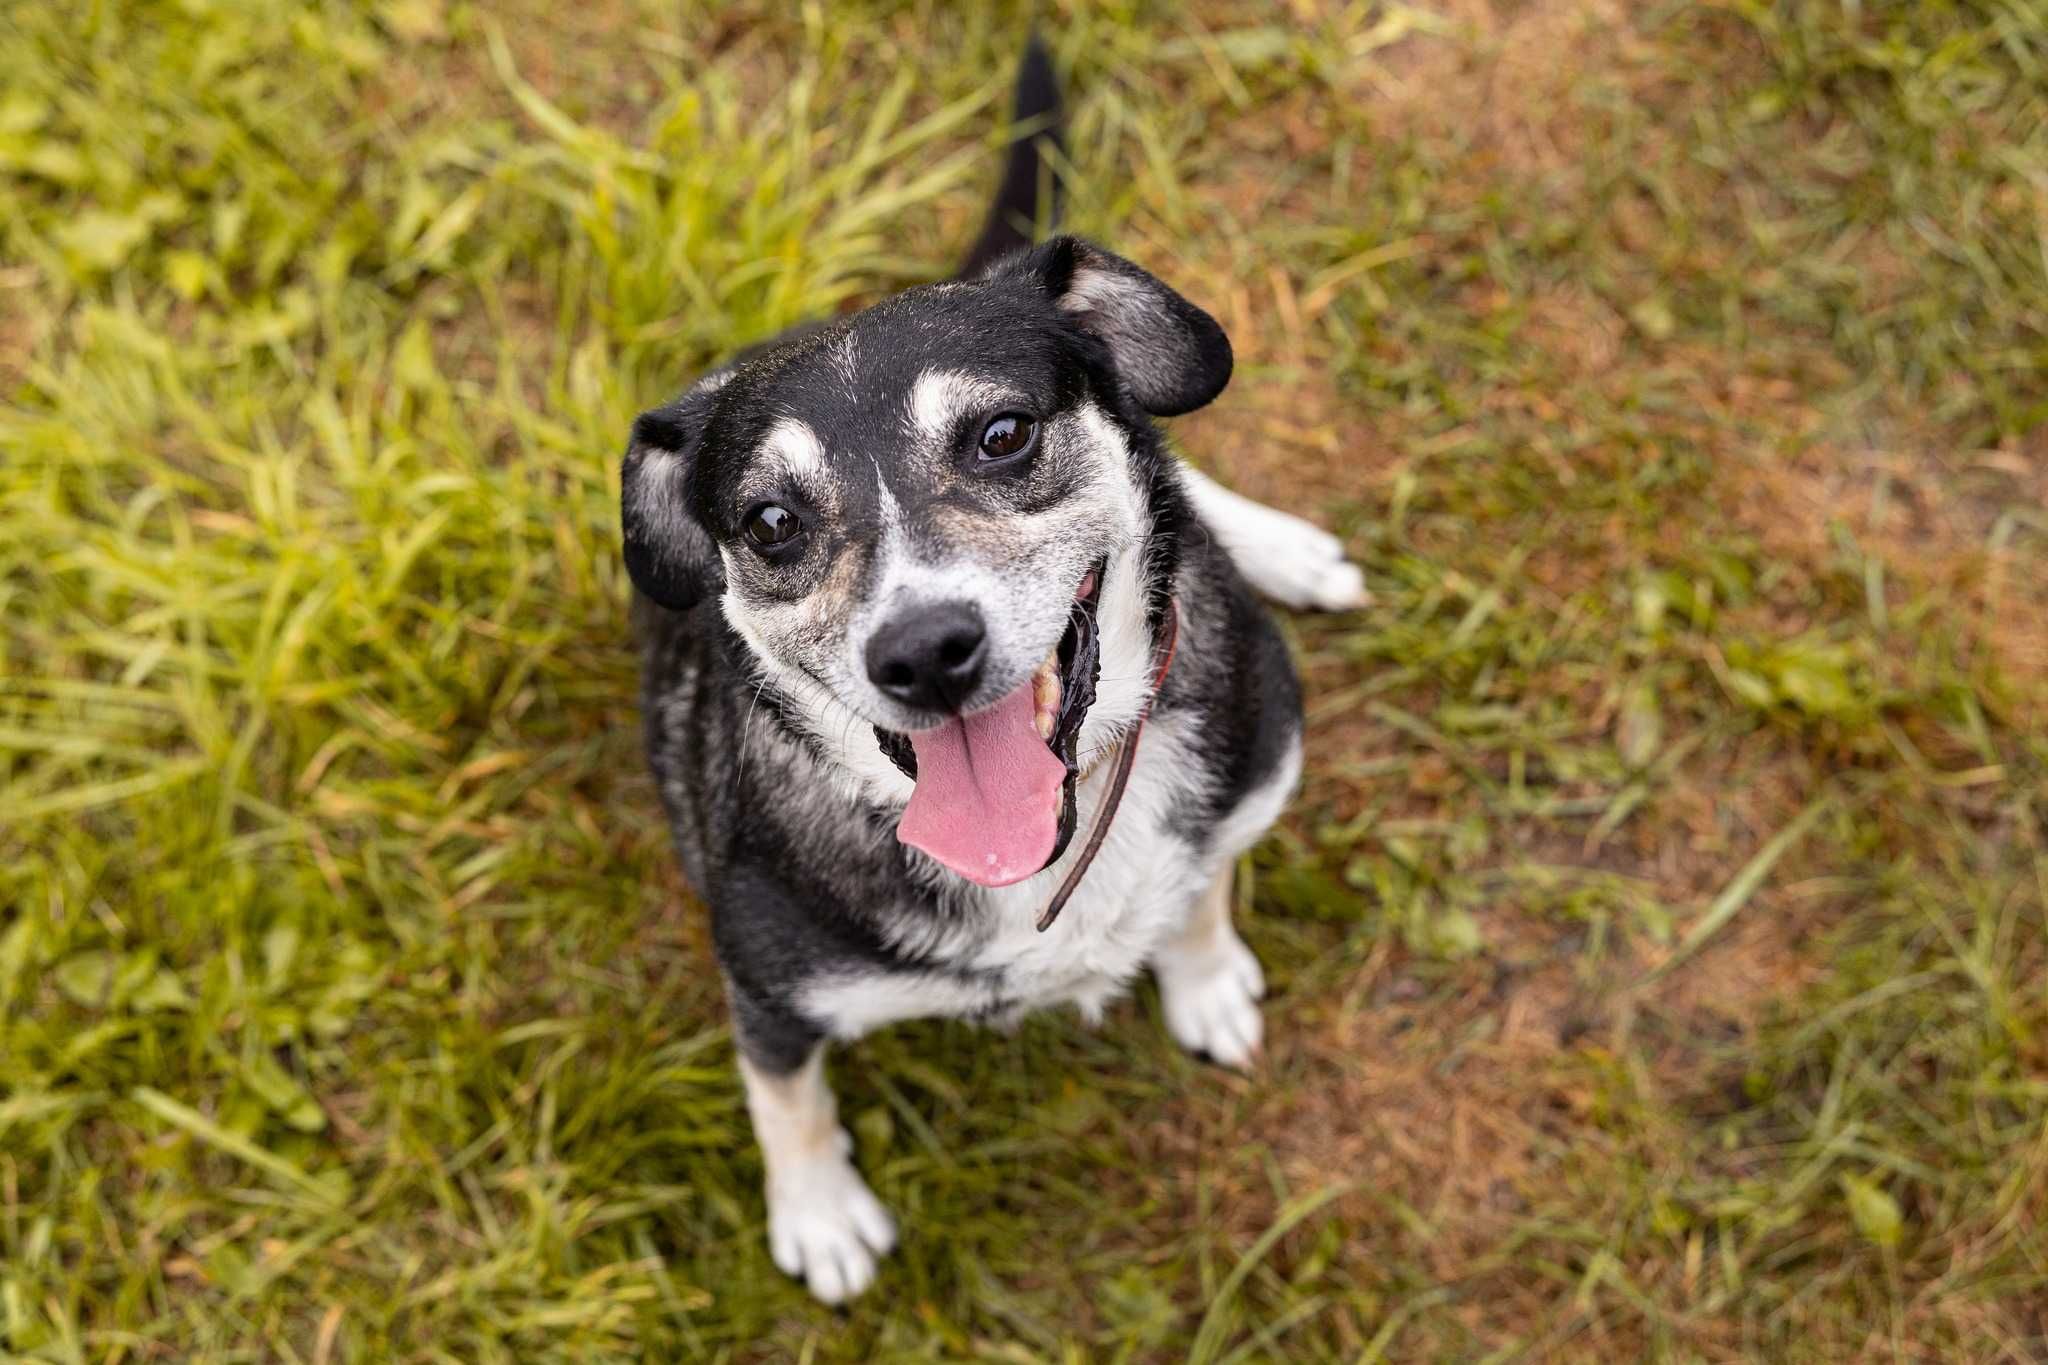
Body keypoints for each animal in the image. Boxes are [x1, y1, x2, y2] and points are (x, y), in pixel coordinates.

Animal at [614, 37, 1368, 1309]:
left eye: (1002, 435)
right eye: (768, 522)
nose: (923, 652)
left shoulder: (1241, 787)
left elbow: (1203, 885)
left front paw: (1204, 975)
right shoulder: (768, 989)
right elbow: (784, 1098)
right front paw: (819, 1214)